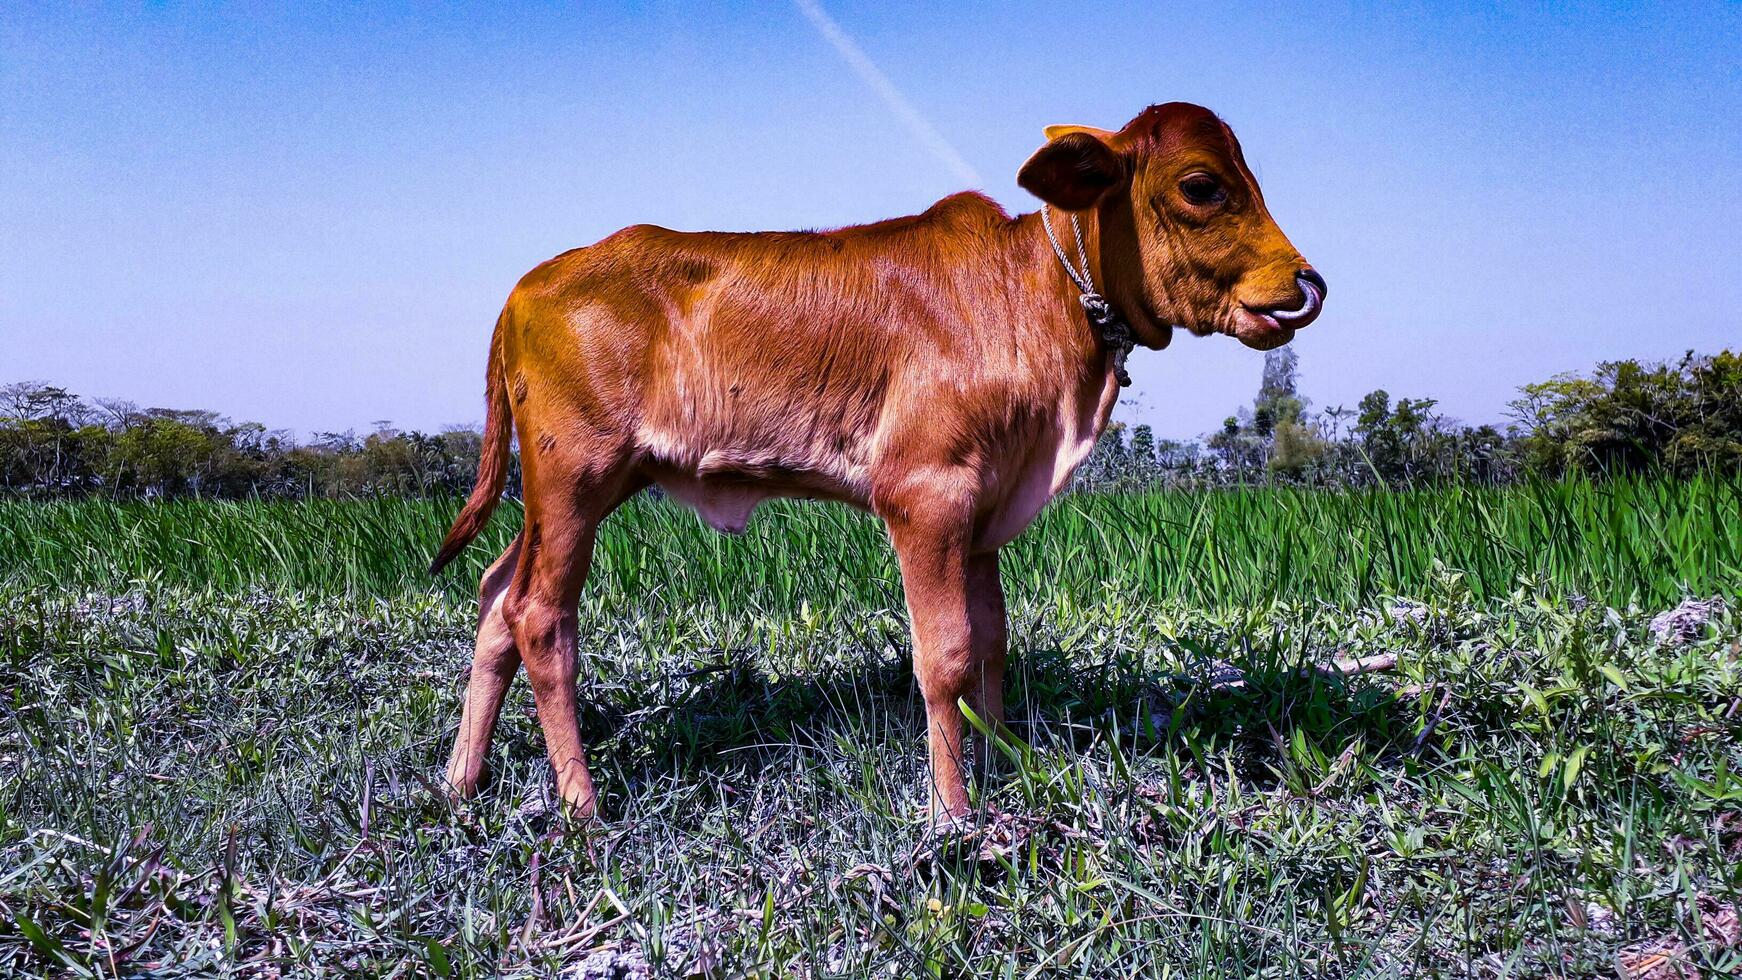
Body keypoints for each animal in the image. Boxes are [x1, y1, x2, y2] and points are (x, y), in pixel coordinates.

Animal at [432, 103, 1316, 828]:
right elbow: (945, 654)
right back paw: (582, 804)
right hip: (574, 479)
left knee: (496, 594)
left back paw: (461, 781)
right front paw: (953, 811)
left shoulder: (987, 508)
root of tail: (527, 286)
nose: (1308, 283)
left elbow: (994, 640)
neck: (1039, 299)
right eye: (1201, 186)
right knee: (540, 615)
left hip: (578, 489)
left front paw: (1007, 766)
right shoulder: (928, 494)